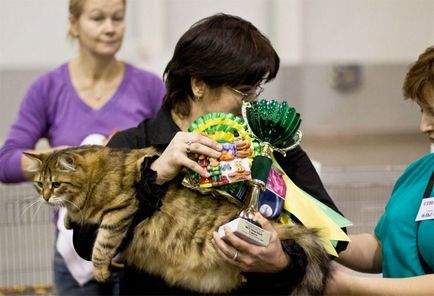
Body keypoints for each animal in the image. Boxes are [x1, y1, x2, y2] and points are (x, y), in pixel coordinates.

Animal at [25, 145, 330, 294]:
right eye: (39, 185)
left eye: (56, 184)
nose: (45, 197)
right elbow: (75, 218)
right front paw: (68, 219)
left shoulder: (120, 211)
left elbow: (102, 246)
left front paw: (100, 271)